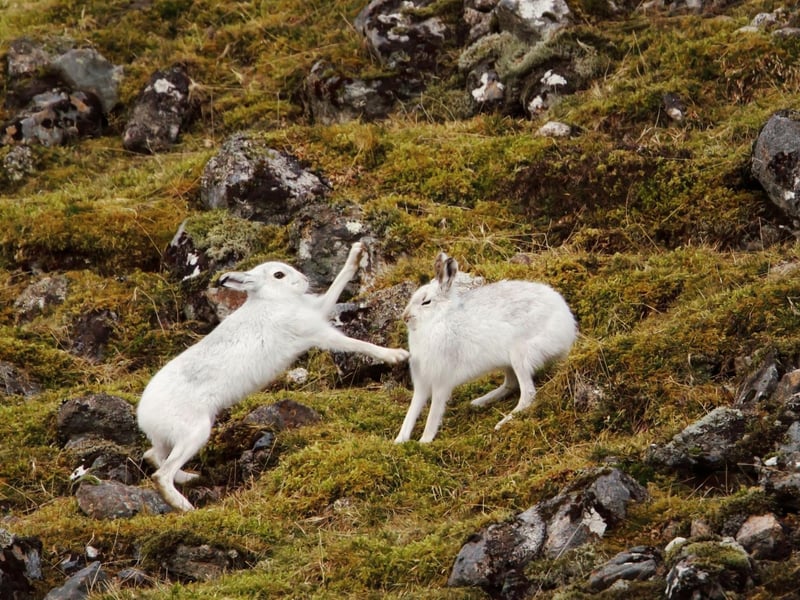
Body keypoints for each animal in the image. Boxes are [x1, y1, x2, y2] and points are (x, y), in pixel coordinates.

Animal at [138, 242, 409, 511]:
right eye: (279, 275)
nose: (305, 280)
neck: (272, 299)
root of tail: (143, 414)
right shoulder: (317, 332)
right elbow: (357, 344)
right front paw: (396, 355)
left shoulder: (317, 311)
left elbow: (336, 286)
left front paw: (357, 252)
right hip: (195, 430)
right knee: (161, 474)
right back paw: (184, 505)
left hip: (174, 437)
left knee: (153, 456)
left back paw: (190, 478)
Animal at [395, 251, 576, 443]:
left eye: (426, 302)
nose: (405, 317)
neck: (439, 319)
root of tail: (568, 325)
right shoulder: (422, 381)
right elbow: (412, 410)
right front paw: (400, 440)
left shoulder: (441, 380)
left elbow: (434, 411)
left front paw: (424, 440)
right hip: (508, 362)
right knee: (511, 384)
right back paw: (479, 402)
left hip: (519, 355)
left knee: (528, 393)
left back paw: (503, 421)